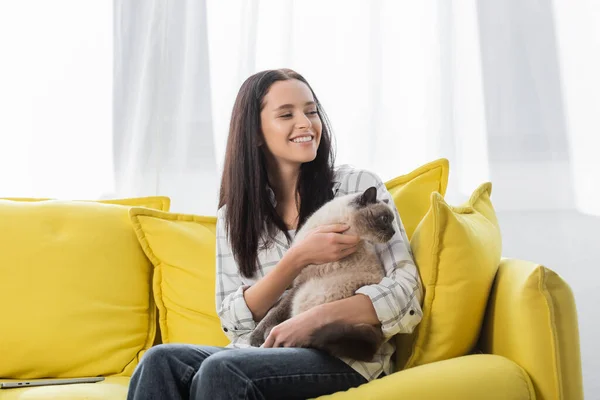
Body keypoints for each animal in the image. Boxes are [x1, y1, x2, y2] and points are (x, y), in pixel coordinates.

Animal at [247, 186, 394, 360]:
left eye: (391, 220)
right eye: (385, 218)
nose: (393, 232)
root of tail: (377, 333)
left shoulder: (299, 286)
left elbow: (274, 312)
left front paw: (255, 338)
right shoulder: (295, 282)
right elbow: (273, 310)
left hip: (306, 295)